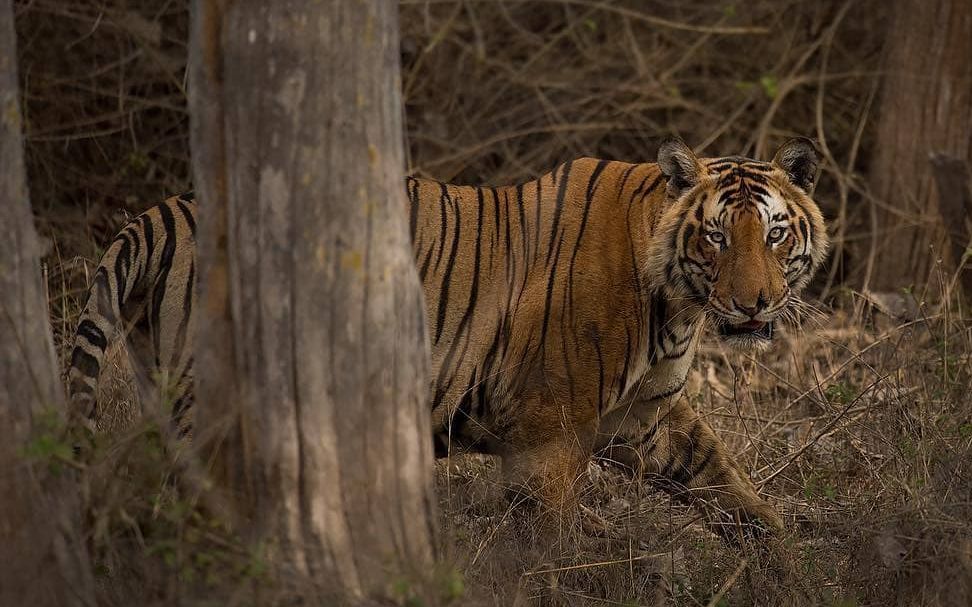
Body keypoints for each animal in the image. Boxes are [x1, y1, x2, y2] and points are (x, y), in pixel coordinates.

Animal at [68, 137, 828, 536]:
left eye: (774, 233)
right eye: (718, 237)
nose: (756, 303)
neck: (678, 304)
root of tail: (160, 214)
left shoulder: (646, 420)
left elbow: (730, 485)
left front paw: (789, 566)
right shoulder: (550, 423)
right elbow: (551, 530)